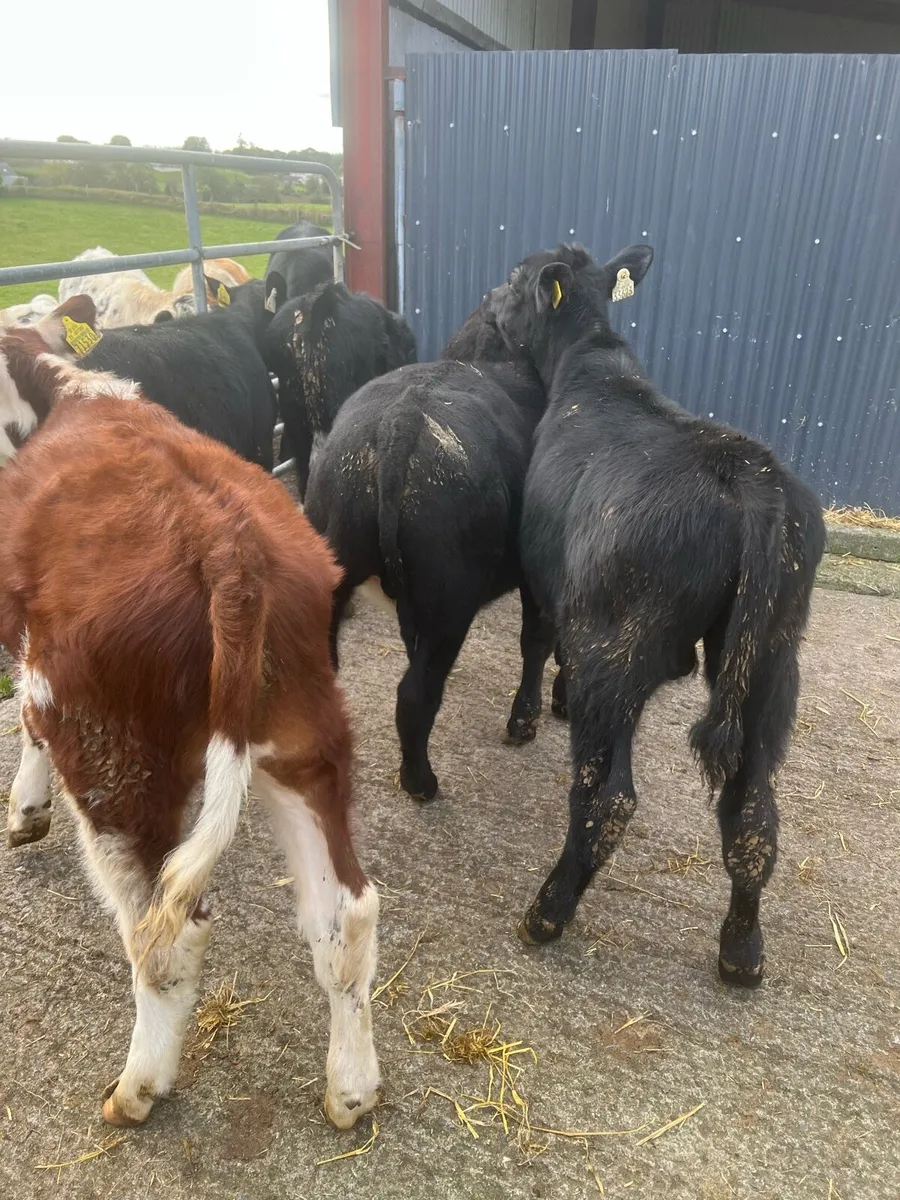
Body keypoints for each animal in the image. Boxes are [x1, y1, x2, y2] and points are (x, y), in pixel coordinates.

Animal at [0, 297, 381, 1131]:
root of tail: (225, 541)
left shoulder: (29, 659)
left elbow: (24, 722)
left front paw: (25, 808)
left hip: (115, 765)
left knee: (164, 939)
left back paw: (138, 1088)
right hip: (301, 741)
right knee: (347, 915)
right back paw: (351, 1087)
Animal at [304, 293, 550, 800]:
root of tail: (399, 424)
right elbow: (536, 640)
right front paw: (527, 720)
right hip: (449, 603)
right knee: (415, 696)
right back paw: (420, 781)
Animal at [491, 242, 826, 987]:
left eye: (518, 279)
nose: (491, 302)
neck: (589, 361)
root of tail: (751, 476)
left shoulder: (540, 574)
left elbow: (536, 642)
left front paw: (527, 718)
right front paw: (555, 703)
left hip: (619, 649)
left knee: (607, 796)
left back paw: (547, 912)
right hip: (772, 663)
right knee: (753, 812)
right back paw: (742, 953)